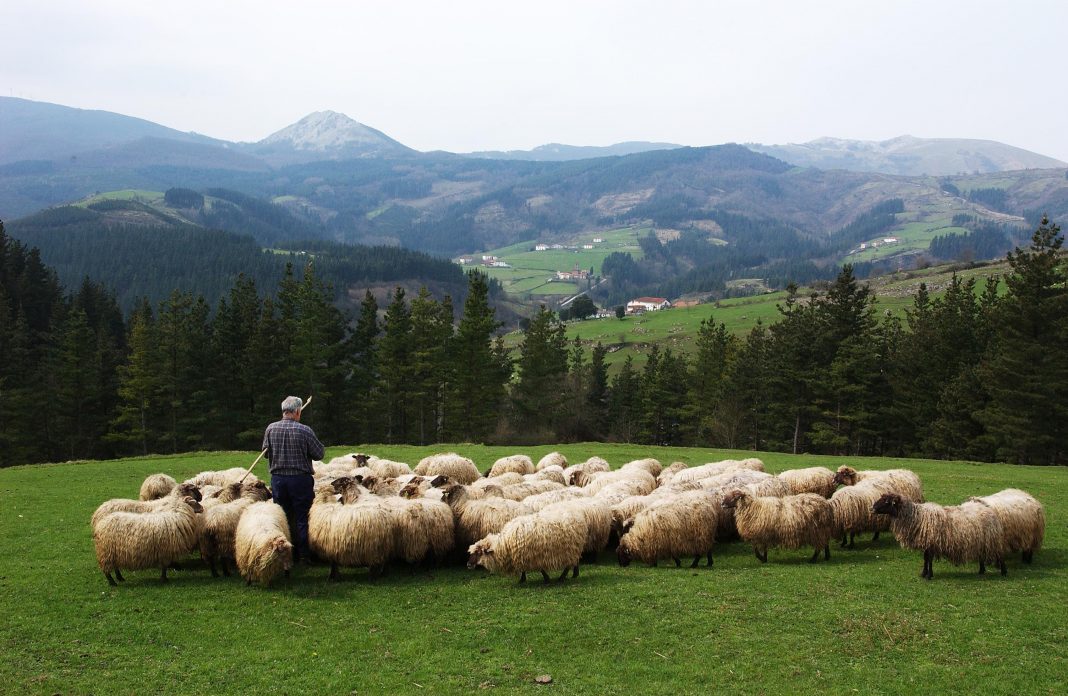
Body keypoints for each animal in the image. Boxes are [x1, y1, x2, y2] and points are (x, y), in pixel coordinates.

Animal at [871, 491, 1003, 580]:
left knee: (998, 554)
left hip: (991, 538)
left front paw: (929, 576)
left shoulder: (931, 541)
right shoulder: (927, 542)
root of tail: (987, 508)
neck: (918, 517)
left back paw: (1004, 572)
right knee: (982, 555)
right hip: (982, 540)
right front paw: (924, 573)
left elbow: (929, 559)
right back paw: (981, 570)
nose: (872, 508)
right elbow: (925, 558)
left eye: (887, 502)